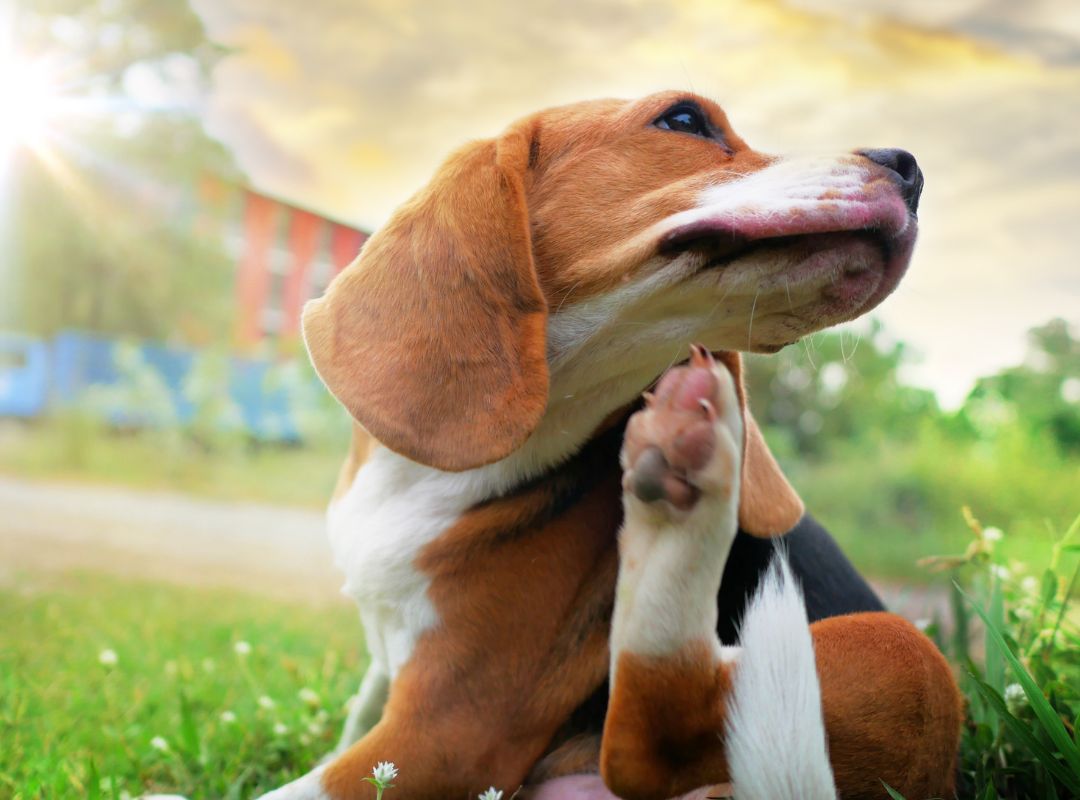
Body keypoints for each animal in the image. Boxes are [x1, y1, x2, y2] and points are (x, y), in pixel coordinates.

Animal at [261, 90, 963, 798]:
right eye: (684, 119)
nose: (910, 169)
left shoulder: (447, 733)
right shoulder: (394, 688)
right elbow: (358, 713)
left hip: (904, 651)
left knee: (651, 743)